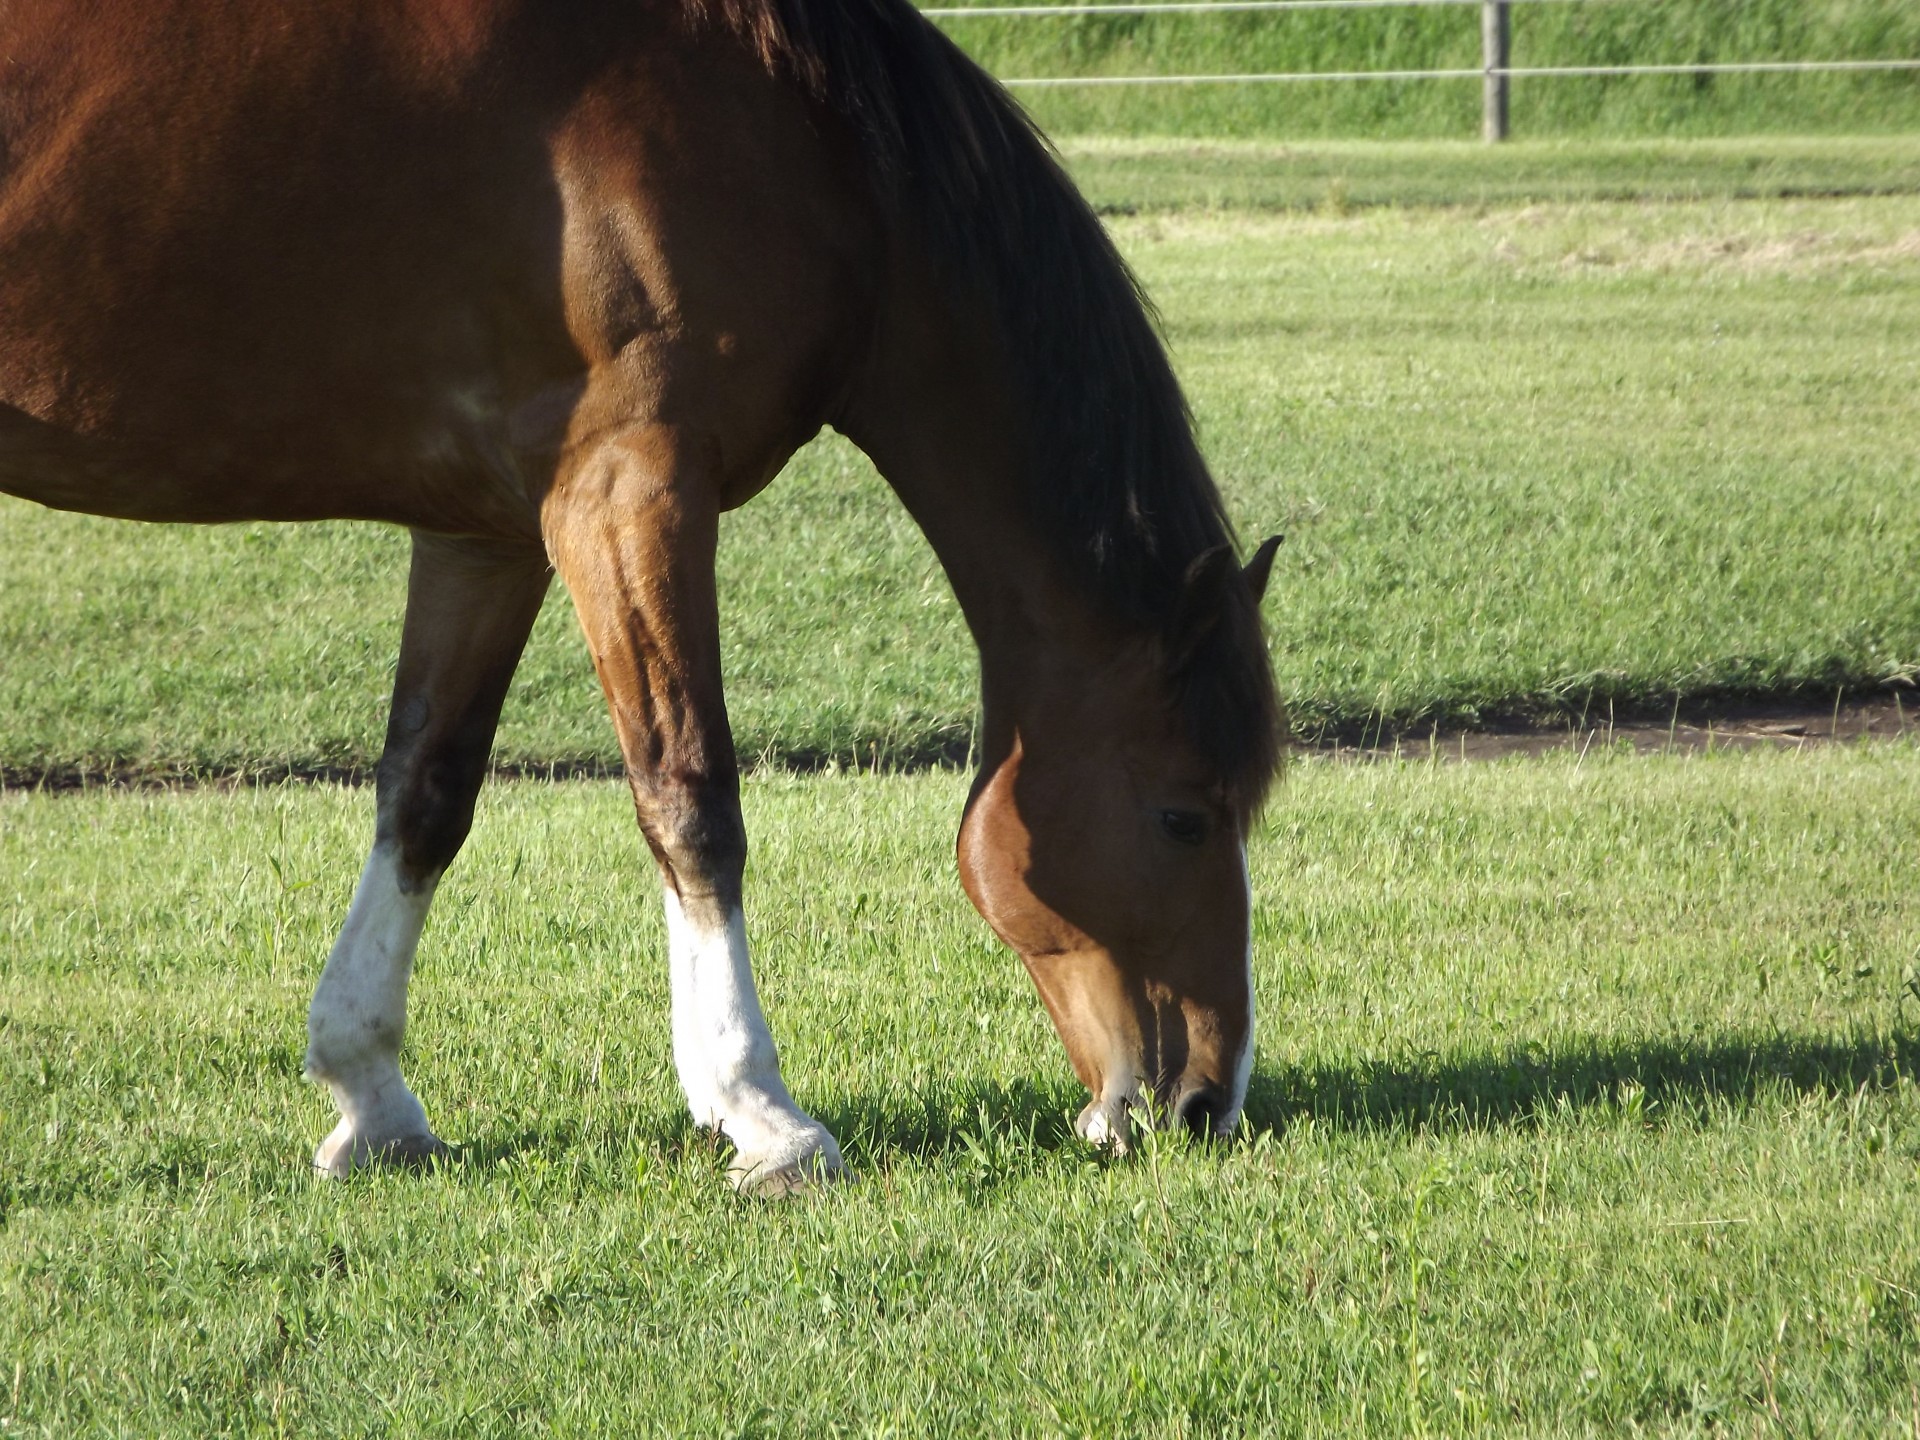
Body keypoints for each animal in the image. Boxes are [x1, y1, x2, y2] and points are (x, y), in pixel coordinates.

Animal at [3, 0, 1290, 1198]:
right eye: (1184, 815)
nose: (1205, 1103)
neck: (814, 144)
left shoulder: (489, 535)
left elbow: (425, 795)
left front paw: (370, 1092)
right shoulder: (630, 491)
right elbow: (690, 797)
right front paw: (762, 1111)